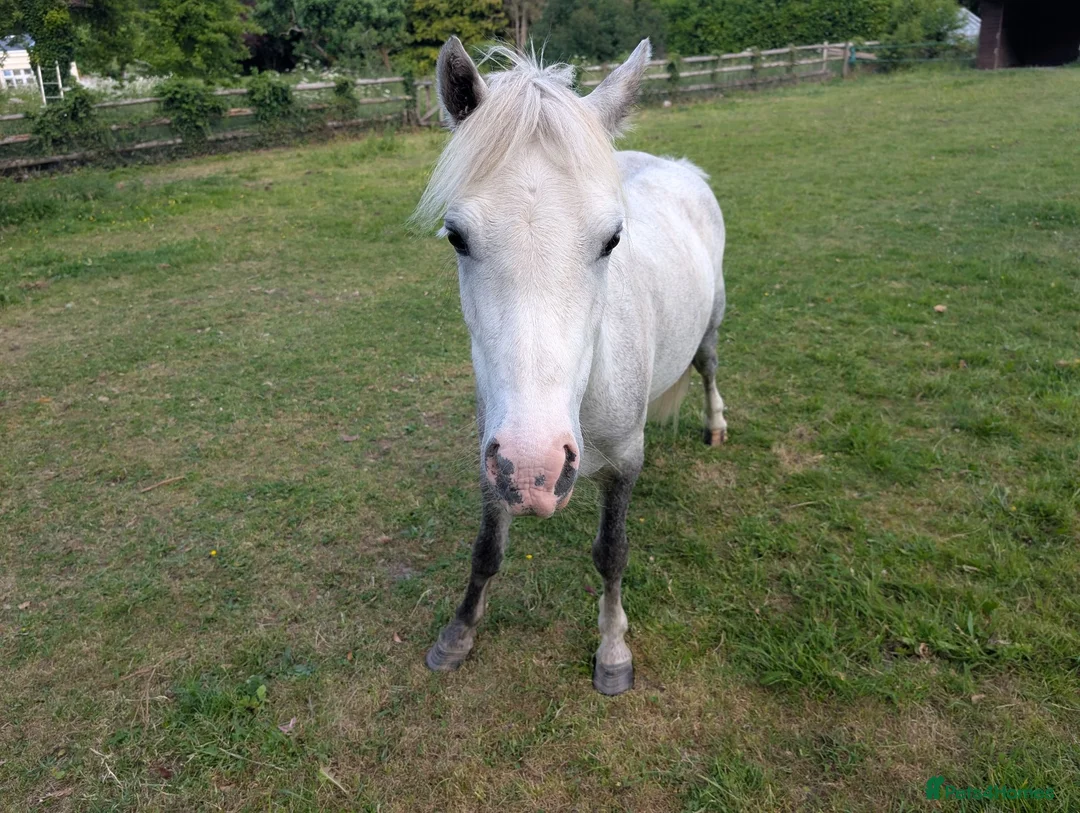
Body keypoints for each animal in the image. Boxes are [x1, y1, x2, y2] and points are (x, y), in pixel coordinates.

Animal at [414, 37, 728, 695]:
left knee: (709, 365)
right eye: (456, 237)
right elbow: (486, 550)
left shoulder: (622, 464)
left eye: (612, 240)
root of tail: (681, 167)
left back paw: (715, 425)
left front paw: (612, 651)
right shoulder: (493, 459)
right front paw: (457, 635)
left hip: (711, 322)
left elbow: (611, 553)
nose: (536, 469)